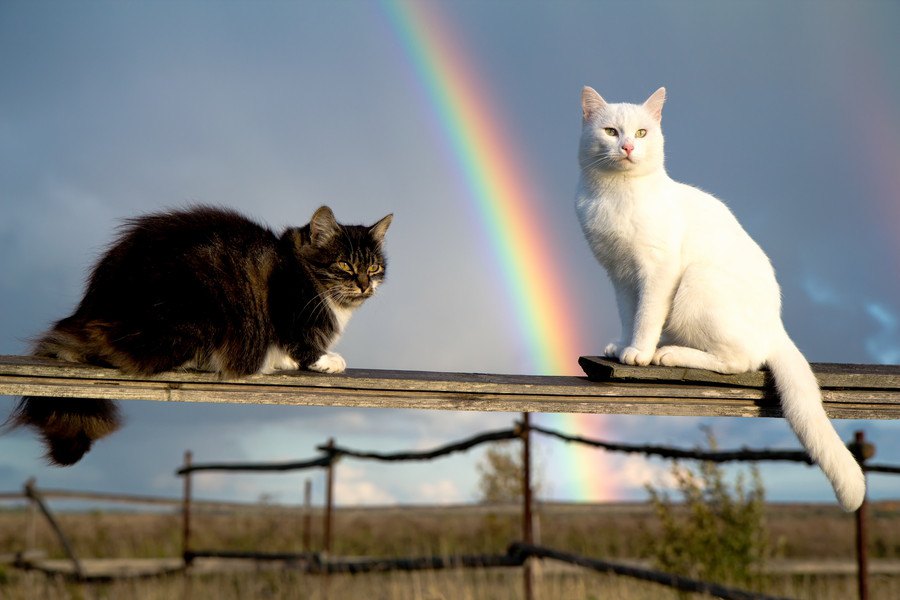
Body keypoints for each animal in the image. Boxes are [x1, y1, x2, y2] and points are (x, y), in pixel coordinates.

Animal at [6, 205, 394, 464]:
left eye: (374, 266)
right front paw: (324, 360)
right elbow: (302, 344)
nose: (364, 284)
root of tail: (90, 310)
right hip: (193, 316)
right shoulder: (289, 311)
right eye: (344, 264)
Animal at [576, 86, 864, 512]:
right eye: (611, 131)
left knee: (739, 361)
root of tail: (776, 326)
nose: (627, 146)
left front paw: (639, 353)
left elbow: (646, 316)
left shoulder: (657, 270)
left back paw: (668, 353)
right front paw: (623, 345)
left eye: (642, 133)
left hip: (697, 282)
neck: (615, 194)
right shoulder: (620, 275)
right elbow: (629, 315)